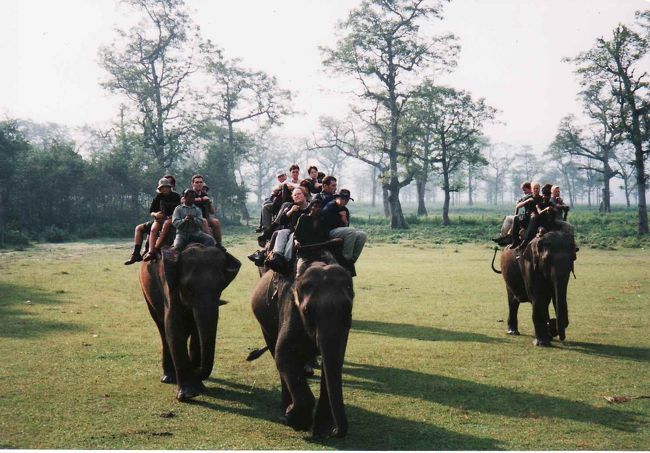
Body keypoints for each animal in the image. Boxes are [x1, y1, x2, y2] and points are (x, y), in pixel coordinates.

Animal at [139, 244, 240, 400]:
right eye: (188, 287)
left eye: (221, 286)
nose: (197, 370)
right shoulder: (169, 286)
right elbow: (173, 325)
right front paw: (188, 395)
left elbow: (196, 329)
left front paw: (199, 387)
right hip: (147, 294)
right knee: (162, 328)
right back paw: (168, 378)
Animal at [248, 264, 352, 436]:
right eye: (308, 310)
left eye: (348, 309)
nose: (334, 431)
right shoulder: (288, 308)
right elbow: (283, 355)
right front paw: (294, 419)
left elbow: (334, 362)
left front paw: (322, 428)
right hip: (265, 324)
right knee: (275, 351)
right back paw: (285, 407)